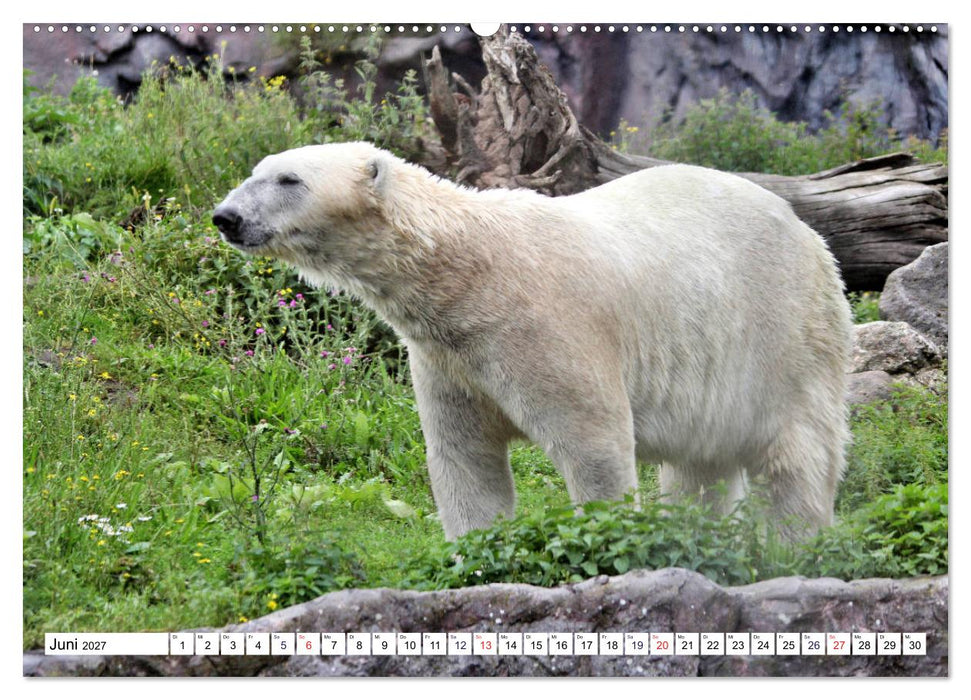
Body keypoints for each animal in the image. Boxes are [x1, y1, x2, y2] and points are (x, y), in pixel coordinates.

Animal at [213, 141, 852, 542]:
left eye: (289, 180)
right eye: (255, 170)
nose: (226, 216)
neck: (470, 275)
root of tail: (806, 229)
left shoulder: (547, 326)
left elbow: (594, 441)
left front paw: (607, 539)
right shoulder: (449, 358)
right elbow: (463, 458)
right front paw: (473, 554)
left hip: (783, 330)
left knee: (798, 452)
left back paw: (793, 543)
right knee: (702, 465)